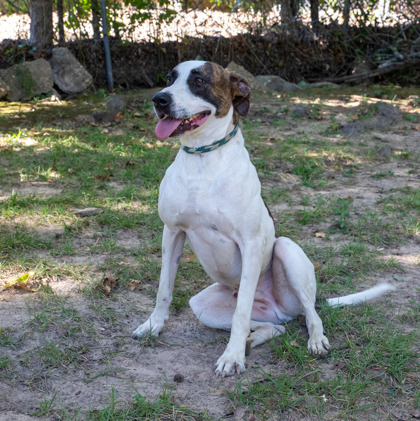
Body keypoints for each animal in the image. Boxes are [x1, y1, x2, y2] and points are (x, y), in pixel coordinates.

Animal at [133, 60, 396, 376]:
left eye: (198, 81)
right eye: (169, 78)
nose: (159, 99)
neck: (203, 159)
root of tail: (278, 308)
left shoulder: (250, 243)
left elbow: (241, 312)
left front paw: (232, 357)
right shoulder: (172, 232)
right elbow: (164, 288)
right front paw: (153, 325)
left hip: (288, 251)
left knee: (310, 314)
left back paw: (313, 340)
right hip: (203, 305)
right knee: (274, 327)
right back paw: (255, 338)